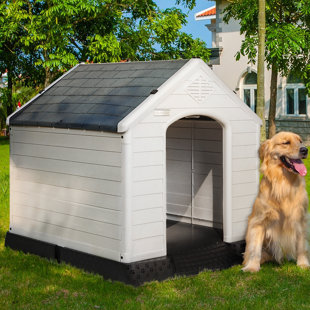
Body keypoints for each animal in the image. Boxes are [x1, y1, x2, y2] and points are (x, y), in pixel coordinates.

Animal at [243, 131, 308, 272]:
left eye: (300, 141)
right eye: (286, 142)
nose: (305, 150)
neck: (283, 184)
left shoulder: (300, 218)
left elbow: (302, 245)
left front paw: (303, 263)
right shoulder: (259, 220)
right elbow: (255, 248)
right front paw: (252, 266)